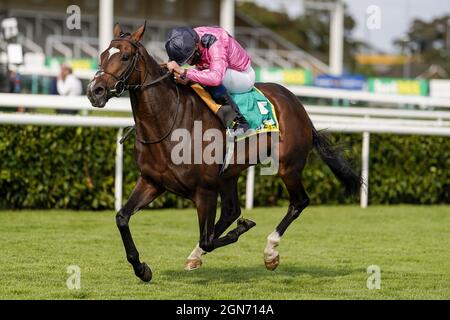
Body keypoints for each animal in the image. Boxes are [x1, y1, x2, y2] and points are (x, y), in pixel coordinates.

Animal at [86, 23, 360, 282]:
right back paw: (198, 255)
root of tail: (298, 105)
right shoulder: (152, 182)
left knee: (298, 202)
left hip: (288, 167)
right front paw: (141, 268)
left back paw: (270, 252)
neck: (167, 121)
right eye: (102, 55)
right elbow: (122, 218)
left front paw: (244, 229)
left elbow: (208, 238)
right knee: (230, 212)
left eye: (125, 56)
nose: (94, 91)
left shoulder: (205, 190)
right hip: (230, 174)